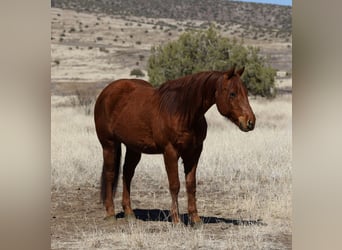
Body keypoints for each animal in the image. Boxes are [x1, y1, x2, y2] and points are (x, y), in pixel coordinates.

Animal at [93, 66, 254, 227]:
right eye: (232, 93)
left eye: (246, 92)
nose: (250, 122)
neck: (182, 112)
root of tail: (106, 92)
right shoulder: (170, 152)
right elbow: (175, 185)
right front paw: (176, 220)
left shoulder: (194, 153)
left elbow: (191, 185)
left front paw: (195, 219)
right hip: (108, 144)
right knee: (110, 174)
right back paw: (110, 213)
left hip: (134, 148)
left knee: (127, 173)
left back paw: (129, 213)